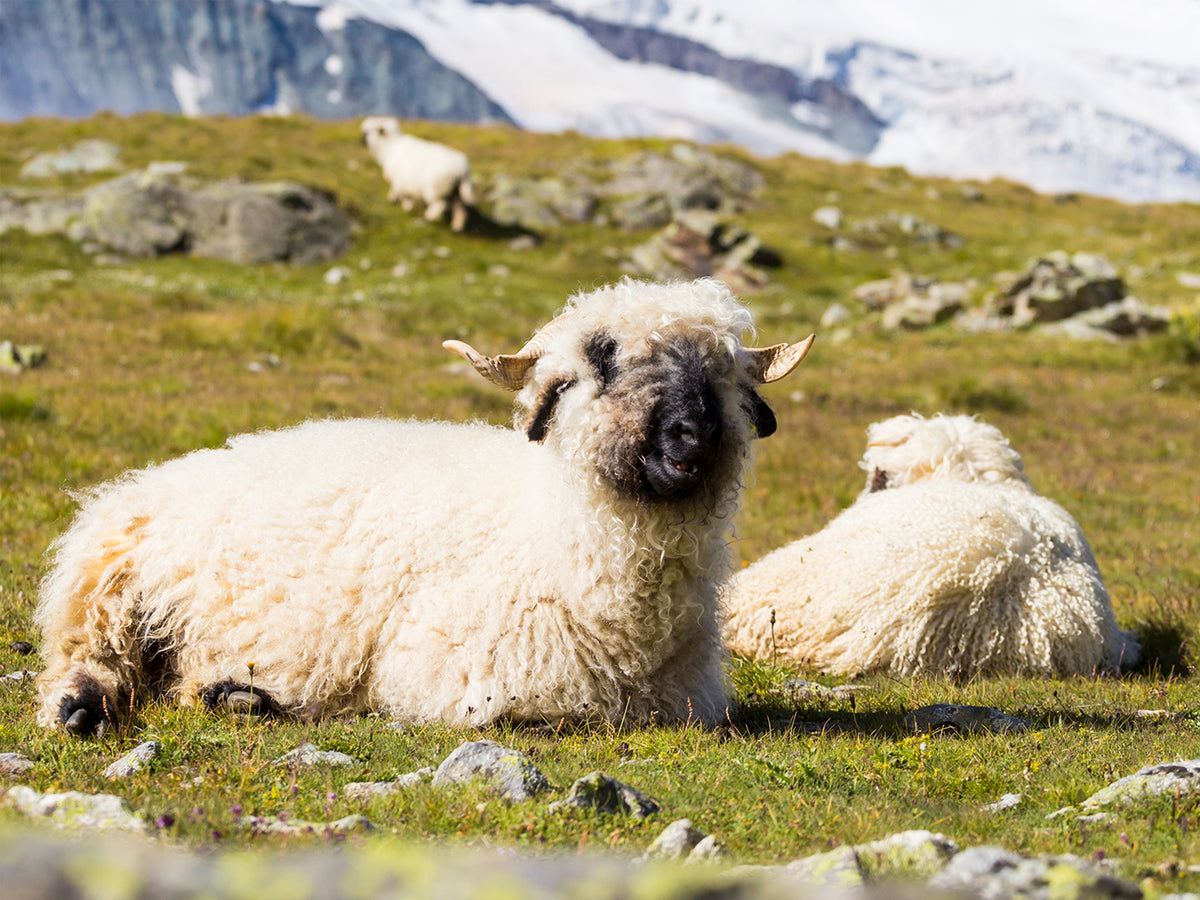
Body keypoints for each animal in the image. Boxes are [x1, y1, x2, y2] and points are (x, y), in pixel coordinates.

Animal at [35, 278, 814, 736]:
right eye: (601, 359)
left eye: (722, 368)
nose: (693, 432)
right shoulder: (457, 675)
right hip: (104, 581)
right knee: (85, 655)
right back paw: (82, 706)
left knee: (177, 683)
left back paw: (232, 694)